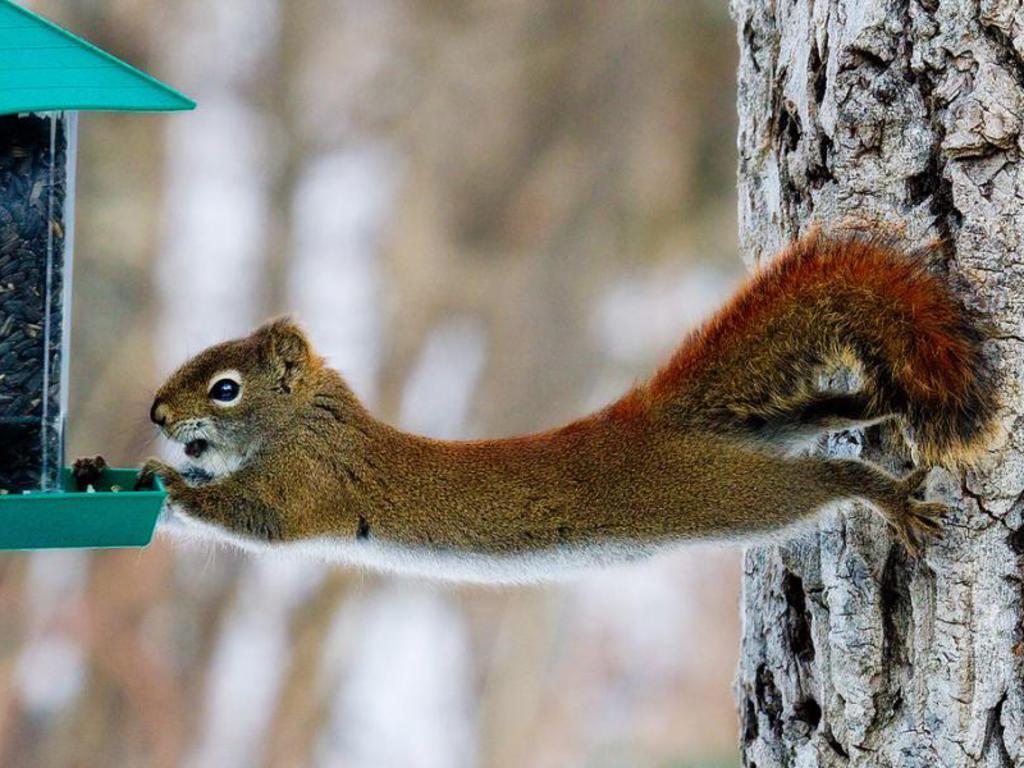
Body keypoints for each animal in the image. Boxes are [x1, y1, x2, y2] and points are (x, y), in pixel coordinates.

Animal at [141, 232, 997, 583]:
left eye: (224, 388)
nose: (154, 415)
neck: (305, 421)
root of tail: (656, 418)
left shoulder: (308, 482)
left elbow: (253, 518)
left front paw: (171, 483)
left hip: (719, 492)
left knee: (819, 485)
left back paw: (885, 497)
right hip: (754, 437)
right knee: (814, 420)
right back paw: (863, 409)